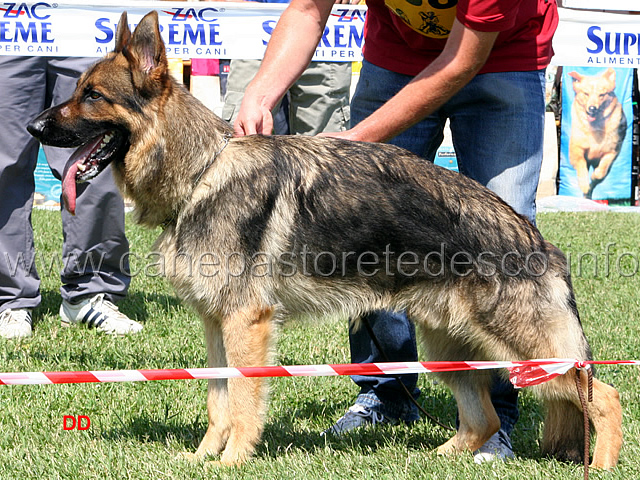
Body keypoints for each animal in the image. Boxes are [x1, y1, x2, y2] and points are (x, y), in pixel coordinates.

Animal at [27, 10, 624, 468]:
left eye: (91, 96)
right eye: (76, 92)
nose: (34, 128)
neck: (201, 170)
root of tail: (538, 240)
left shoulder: (245, 323)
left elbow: (241, 400)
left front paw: (232, 462)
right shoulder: (216, 323)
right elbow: (218, 400)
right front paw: (201, 459)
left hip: (529, 353)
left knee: (605, 395)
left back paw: (601, 464)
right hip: (449, 345)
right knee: (484, 415)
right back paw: (437, 459)